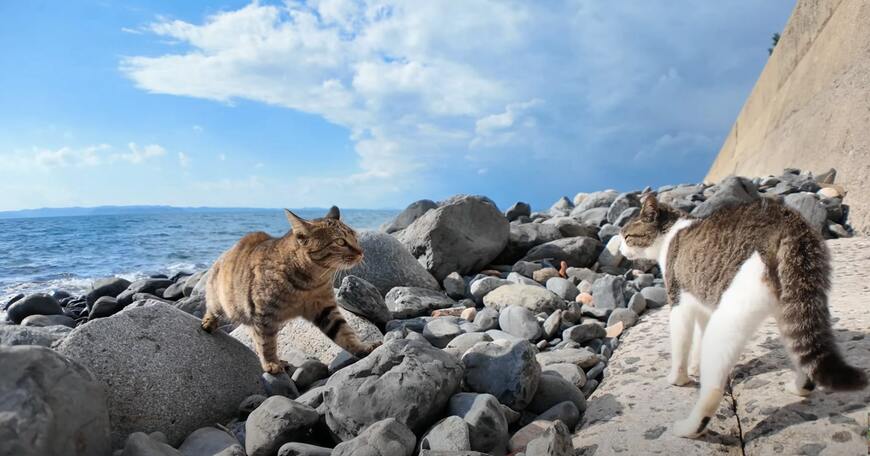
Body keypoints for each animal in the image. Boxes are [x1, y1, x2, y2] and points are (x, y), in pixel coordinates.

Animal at [206, 207, 384, 374]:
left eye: (355, 238)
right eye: (340, 241)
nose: (361, 252)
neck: (310, 282)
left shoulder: (325, 308)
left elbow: (345, 332)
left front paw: (362, 348)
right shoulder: (264, 314)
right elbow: (266, 342)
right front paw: (271, 363)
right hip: (225, 302)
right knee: (212, 306)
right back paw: (208, 322)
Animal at [620, 194, 864, 436]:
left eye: (626, 236)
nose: (619, 247)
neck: (671, 233)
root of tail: (792, 225)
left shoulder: (679, 302)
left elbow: (681, 346)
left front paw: (678, 378)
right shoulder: (702, 305)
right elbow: (699, 340)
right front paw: (696, 367)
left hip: (731, 314)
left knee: (714, 388)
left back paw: (690, 428)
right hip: (793, 308)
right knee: (805, 354)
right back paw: (798, 388)